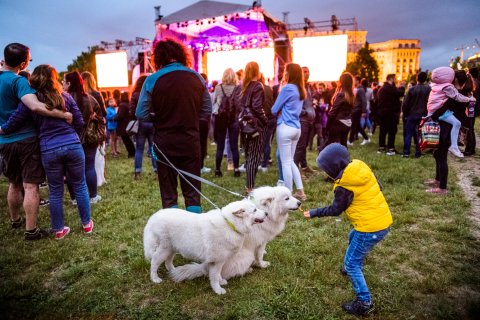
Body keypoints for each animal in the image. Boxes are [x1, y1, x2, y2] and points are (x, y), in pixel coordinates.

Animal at [142, 200, 270, 296]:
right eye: (254, 210)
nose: (266, 214)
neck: (230, 224)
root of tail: (154, 217)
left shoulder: (221, 260)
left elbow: (218, 274)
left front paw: (221, 282)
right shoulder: (216, 261)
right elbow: (214, 276)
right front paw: (218, 290)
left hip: (172, 248)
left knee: (168, 261)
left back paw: (173, 271)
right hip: (164, 249)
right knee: (154, 262)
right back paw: (155, 278)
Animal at [169, 186, 300, 282]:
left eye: (291, 196)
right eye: (287, 198)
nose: (299, 203)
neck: (266, 211)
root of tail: (204, 267)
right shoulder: (261, 242)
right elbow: (259, 255)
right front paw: (262, 265)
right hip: (245, 257)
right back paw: (248, 270)